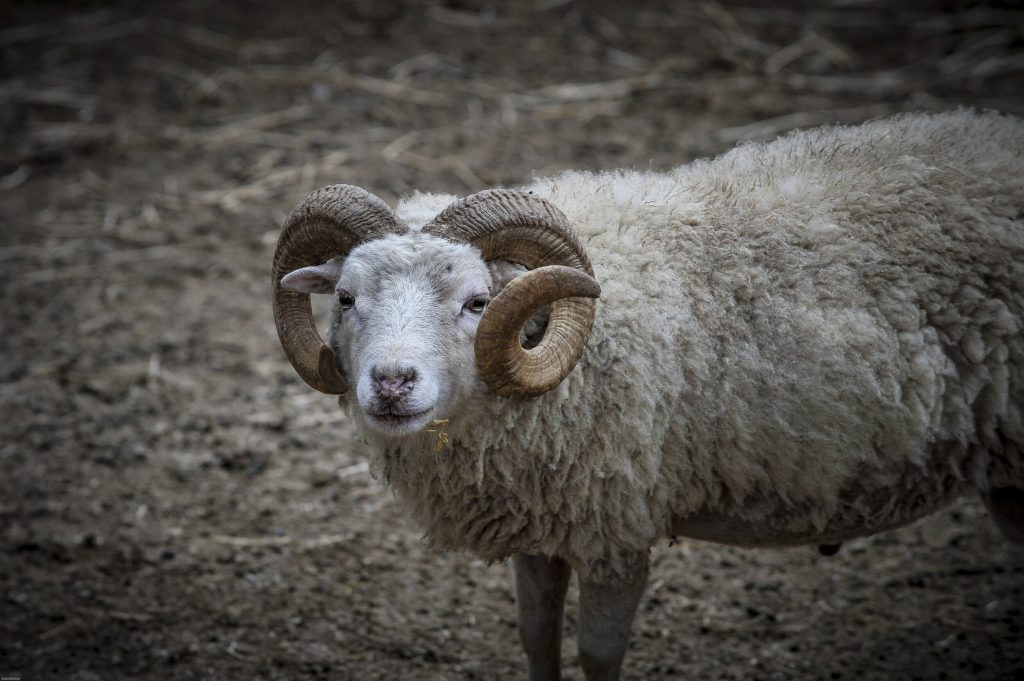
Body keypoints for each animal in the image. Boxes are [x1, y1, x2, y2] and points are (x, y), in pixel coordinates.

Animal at [272, 111, 1024, 679]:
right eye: (346, 297)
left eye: (477, 301)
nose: (391, 382)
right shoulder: (538, 521)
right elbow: (535, 637)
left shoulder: (617, 527)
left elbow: (598, 654)